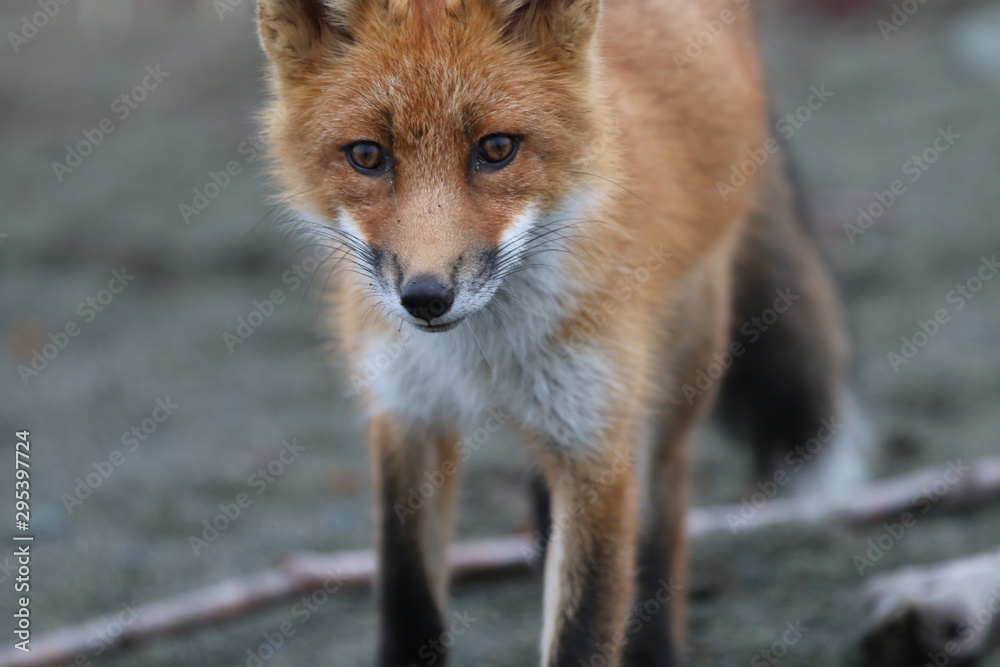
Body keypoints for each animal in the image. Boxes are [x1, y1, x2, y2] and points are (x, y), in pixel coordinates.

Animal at [255, 0, 864, 664]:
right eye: (367, 156)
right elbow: (407, 605)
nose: (425, 298)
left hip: (674, 378)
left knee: (661, 526)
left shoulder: (596, 443)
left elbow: (584, 627)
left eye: (497, 148)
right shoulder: (406, 417)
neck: (482, 354)